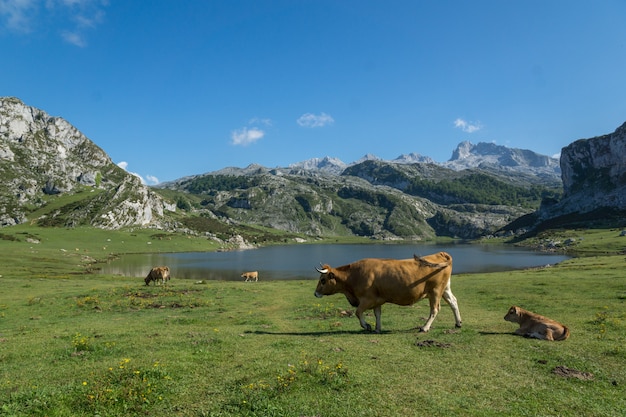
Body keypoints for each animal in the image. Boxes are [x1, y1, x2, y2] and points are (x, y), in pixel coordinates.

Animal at [314, 250, 460, 332]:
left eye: (323, 280)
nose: (315, 293)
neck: (354, 275)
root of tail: (440, 254)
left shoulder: (367, 299)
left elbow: (358, 312)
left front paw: (367, 326)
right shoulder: (377, 299)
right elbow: (377, 314)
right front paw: (377, 329)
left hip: (435, 291)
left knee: (435, 309)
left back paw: (424, 328)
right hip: (445, 288)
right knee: (453, 302)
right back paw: (458, 323)